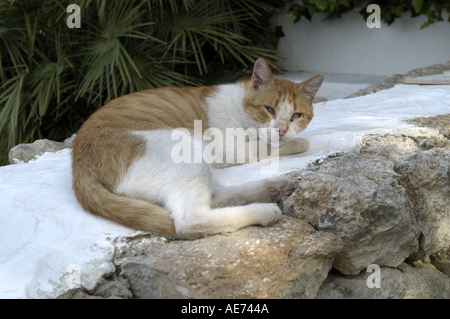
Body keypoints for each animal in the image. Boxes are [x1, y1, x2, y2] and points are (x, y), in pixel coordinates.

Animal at [71, 58, 324, 240]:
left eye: (296, 115)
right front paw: (296, 143)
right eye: (269, 109)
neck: (240, 106)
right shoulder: (226, 147)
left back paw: (271, 188)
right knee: (189, 220)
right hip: (184, 153)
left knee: (213, 196)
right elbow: (265, 146)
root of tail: (79, 165)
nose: (282, 130)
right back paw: (263, 210)